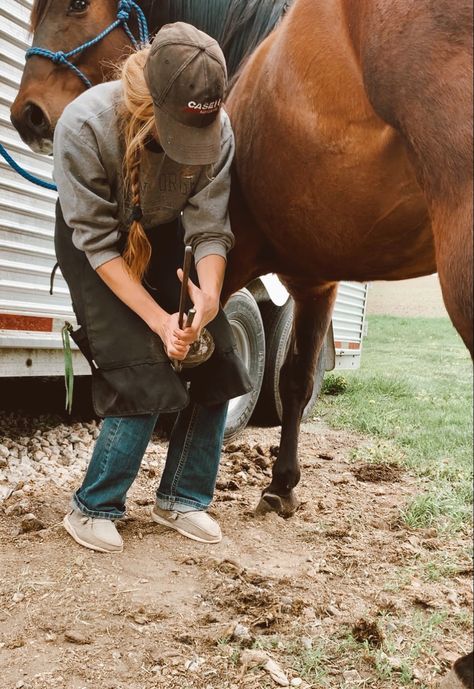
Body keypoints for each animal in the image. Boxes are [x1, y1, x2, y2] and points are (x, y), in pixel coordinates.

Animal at [9, 0, 472, 520]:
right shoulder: (316, 282)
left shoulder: (223, 264)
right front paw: (281, 485)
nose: (27, 114)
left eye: (76, 5)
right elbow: (294, 380)